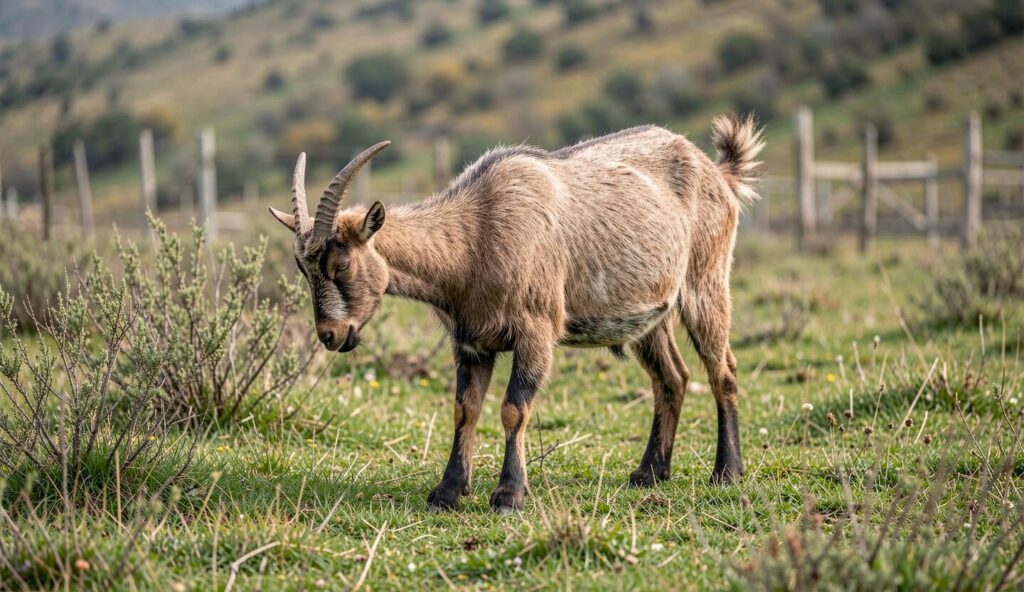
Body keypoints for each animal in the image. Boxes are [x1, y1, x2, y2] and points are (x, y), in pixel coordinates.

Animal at [269, 115, 764, 513]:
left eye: (341, 264)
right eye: (302, 268)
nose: (331, 334)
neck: (476, 233)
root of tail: (718, 173)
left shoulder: (536, 331)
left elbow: (513, 409)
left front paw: (508, 495)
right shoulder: (471, 342)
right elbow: (464, 409)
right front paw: (448, 492)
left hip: (705, 283)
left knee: (723, 370)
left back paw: (727, 472)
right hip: (649, 316)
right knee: (672, 378)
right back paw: (649, 473)